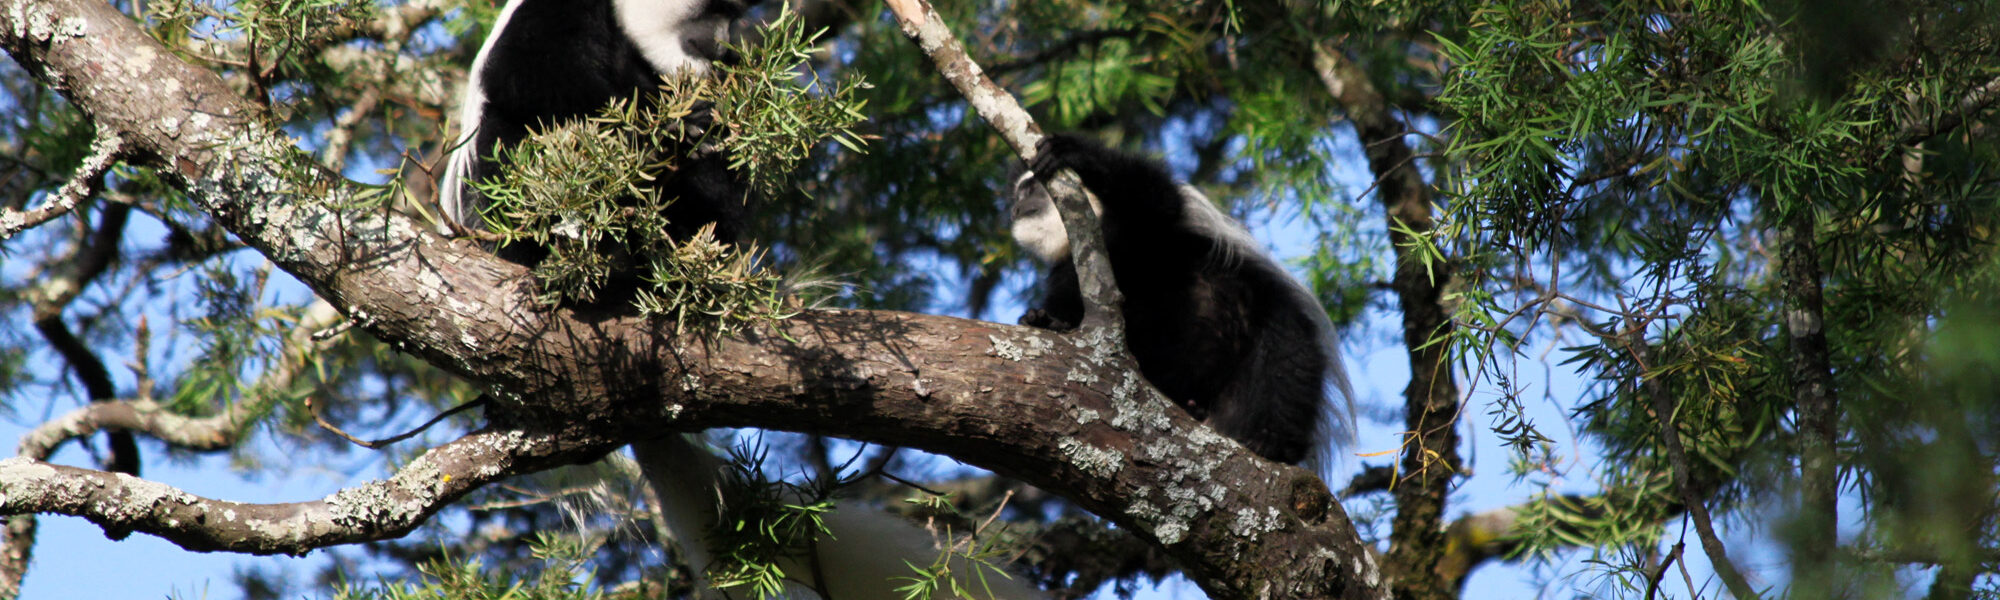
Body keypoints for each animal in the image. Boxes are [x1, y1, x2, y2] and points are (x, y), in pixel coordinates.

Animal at [434, 0, 752, 246]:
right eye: (718, 8)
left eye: (733, 16)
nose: (720, 46)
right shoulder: (555, 9)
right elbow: (526, 73)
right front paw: (672, 129)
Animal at [1008, 135, 1352, 464]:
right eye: (1018, 195)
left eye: (1031, 189)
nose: (1016, 208)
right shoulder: (1068, 270)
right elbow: (1069, 308)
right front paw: (1045, 320)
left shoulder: (1160, 225)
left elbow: (1156, 199)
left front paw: (1074, 152)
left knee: (1287, 350)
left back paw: (1274, 442)